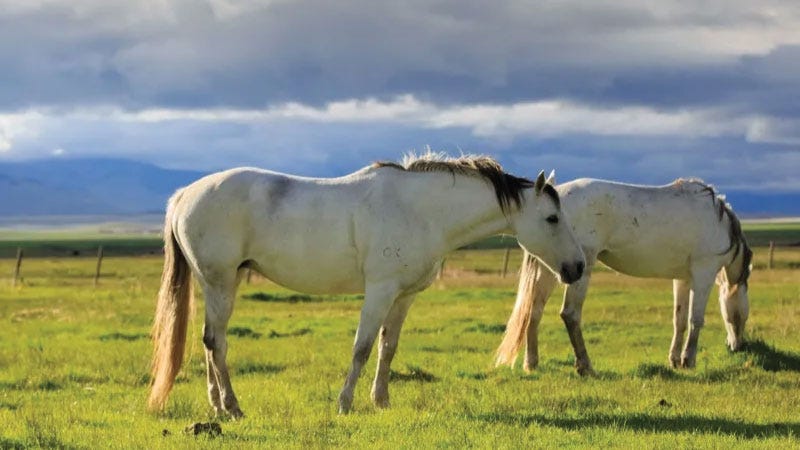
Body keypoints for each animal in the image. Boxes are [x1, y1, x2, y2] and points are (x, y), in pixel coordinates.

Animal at [147, 153, 586, 417]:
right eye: (552, 218)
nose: (578, 266)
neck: (421, 210)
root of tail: (185, 195)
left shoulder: (403, 296)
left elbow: (387, 348)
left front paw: (382, 401)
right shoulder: (379, 290)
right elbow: (361, 347)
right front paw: (344, 404)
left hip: (223, 282)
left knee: (209, 342)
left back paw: (217, 408)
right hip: (220, 283)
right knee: (217, 343)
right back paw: (233, 408)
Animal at [495, 176, 752, 375]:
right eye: (742, 314)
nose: (737, 347)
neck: (717, 222)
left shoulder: (683, 278)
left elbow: (679, 320)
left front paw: (675, 360)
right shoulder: (703, 273)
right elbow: (695, 319)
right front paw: (688, 360)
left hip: (553, 269)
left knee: (534, 312)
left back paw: (531, 364)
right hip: (580, 269)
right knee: (570, 314)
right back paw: (585, 366)